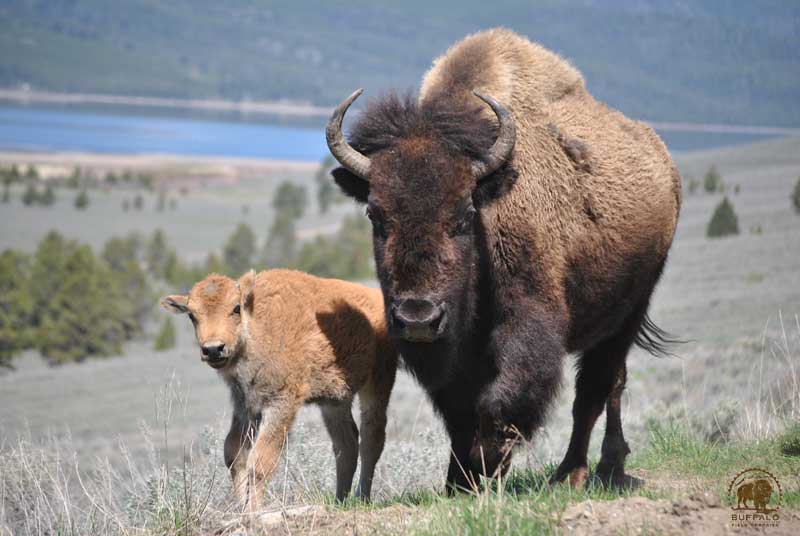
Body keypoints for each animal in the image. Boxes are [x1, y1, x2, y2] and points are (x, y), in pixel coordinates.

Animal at [327, 28, 680, 491]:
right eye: (375, 214)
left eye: (464, 214)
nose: (418, 318)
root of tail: (665, 164)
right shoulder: (453, 358)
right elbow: (459, 413)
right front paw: (458, 483)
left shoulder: (528, 327)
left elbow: (503, 401)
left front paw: (488, 470)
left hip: (630, 310)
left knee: (597, 389)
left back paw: (581, 472)